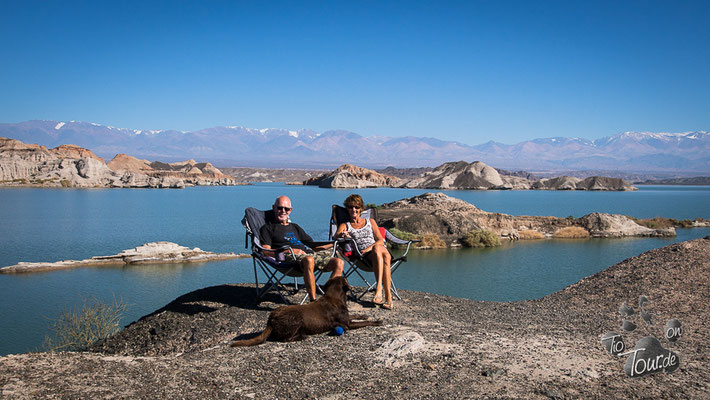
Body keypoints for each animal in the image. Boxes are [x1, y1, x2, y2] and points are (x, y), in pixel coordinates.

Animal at [232, 276, 384, 346]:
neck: (335, 296)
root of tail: (270, 318)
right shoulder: (346, 325)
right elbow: (365, 323)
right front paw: (377, 321)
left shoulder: (347, 318)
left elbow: (355, 314)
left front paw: (363, 314)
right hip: (296, 318)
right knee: (285, 339)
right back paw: (302, 336)